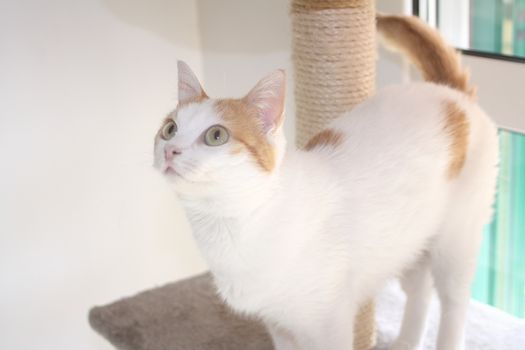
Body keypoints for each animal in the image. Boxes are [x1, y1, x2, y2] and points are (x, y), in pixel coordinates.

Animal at [154, 14, 498, 350]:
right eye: (169, 129)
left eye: (216, 136)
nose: (171, 150)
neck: (231, 225)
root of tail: (451, 93)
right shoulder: (278, 323)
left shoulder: (330, 322)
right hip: (410, 243)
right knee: (420, 292)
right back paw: (405, 342)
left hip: (455, 241)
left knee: (454, 303)